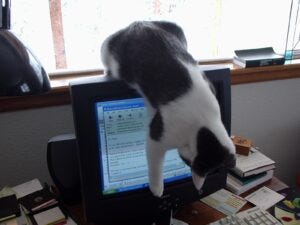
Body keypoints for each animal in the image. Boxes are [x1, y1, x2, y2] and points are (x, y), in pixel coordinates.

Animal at [99, 21, 236, 197]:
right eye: (187, 163)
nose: (199, 188)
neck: (205, 123)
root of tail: (141, 23)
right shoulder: (158, 137)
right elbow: (155, 165)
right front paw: (157, 188)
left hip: (176, 28)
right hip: (108, 48)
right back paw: (106, 70)